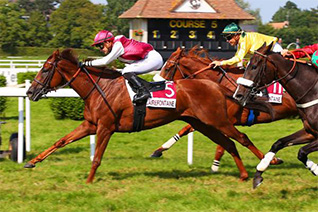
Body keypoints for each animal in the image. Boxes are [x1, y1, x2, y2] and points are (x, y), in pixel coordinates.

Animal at [24, 48, 258, 182]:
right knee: (229, 143)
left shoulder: (106, 127)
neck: (101, 87)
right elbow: (61, 141)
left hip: (217, 120)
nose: (30, 92)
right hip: (202, 123)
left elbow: (97, 157)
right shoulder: (90, 125)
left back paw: (263, 167)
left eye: (46, 69)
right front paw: (32, 162)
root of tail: (215, 86)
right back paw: (244, 174)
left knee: (242, 138)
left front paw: (89, 181)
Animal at [150, 46, 296, 171]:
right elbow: (186, 129)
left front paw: (215, 166)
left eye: (168, 68)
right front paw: (158, 150)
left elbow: (223, 143)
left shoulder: (223, 119)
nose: (157, 86)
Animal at [234, 42, 318, 188]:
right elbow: (279, 143)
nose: (238, 95)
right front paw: (258, 175)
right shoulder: (310, 132)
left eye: (254, 66)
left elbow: (301, 151)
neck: (313, 92)